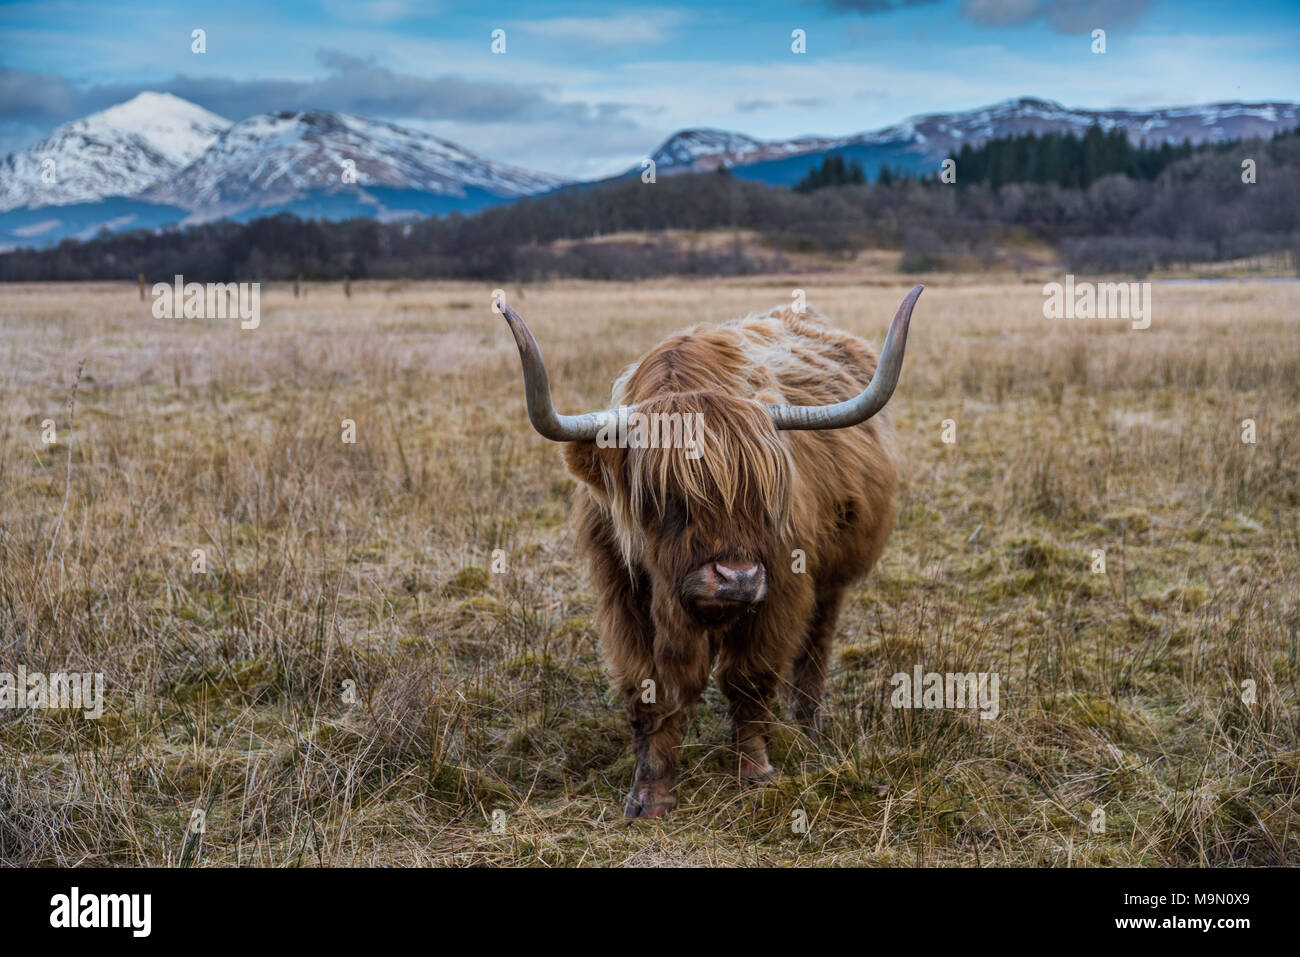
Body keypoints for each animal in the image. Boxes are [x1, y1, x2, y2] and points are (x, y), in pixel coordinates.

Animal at [497, 285, 923, 817]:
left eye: (762, 494)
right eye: (668, 499)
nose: (737, 578)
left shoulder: (780, 591)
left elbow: (749, 680)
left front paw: (756, 774)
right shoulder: (624, 599)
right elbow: (651, 692)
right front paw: (651, 794)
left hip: (832, 578)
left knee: (815, 645)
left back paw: (808, 725)